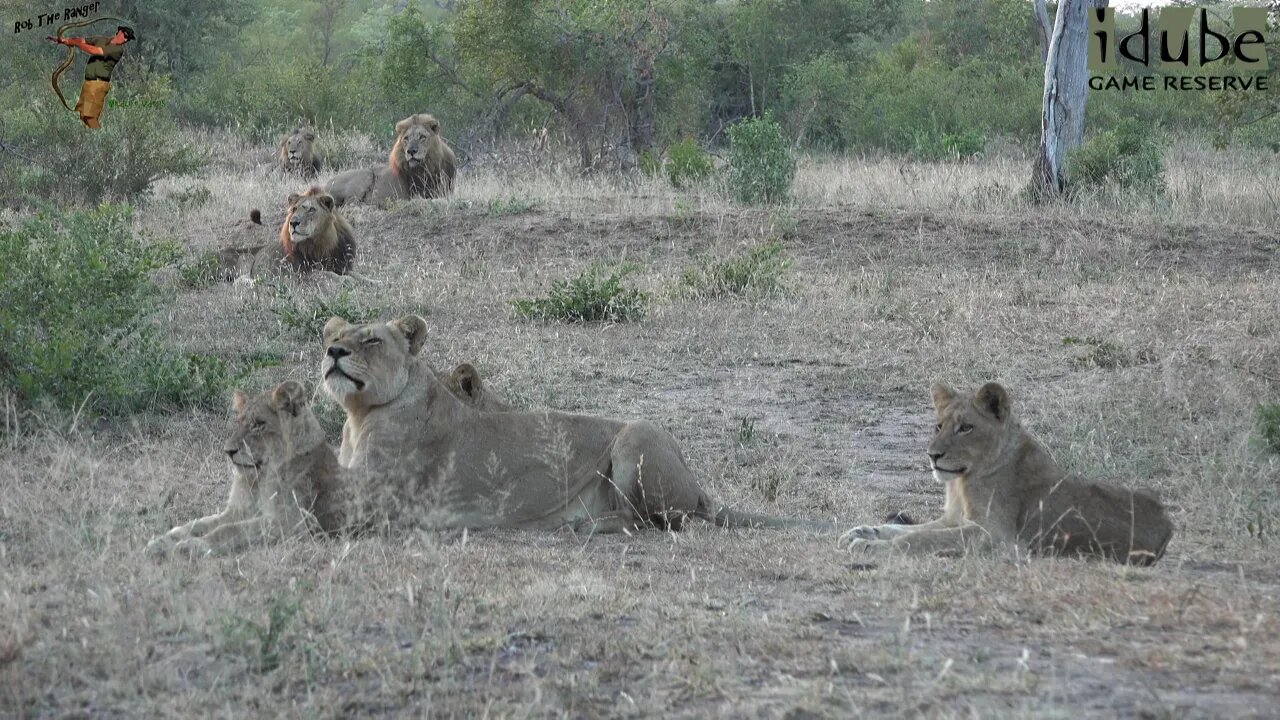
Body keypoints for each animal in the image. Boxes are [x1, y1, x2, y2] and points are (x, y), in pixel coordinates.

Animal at [143, 381, 345, 556]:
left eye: (258, 424)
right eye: (238, 422)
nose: (228, 451)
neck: (259, 479)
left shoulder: (290, 523)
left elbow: (230, 530)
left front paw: (192, 546)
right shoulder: (237, 511)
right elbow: (199, 524)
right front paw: (163, 541)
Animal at [844, 379, 1172, 563]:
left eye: (966, 428)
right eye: (939, 426)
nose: (933, 455)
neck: (962, 482)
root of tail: (1168, 526)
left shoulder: (995, 536)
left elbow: (919, 539)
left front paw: (869, 546)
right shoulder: (953, 519)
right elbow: (909, 528)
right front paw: (864, 531)